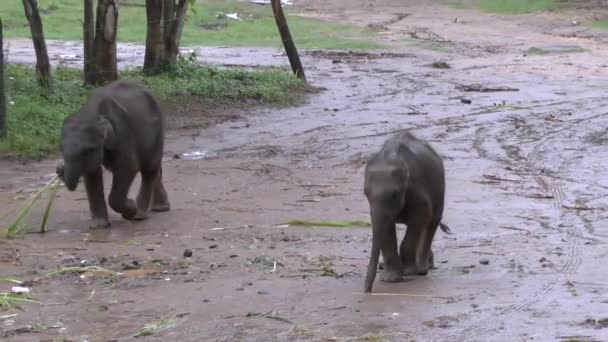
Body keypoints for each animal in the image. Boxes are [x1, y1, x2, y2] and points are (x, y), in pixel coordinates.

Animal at [58, 80, 170, 228]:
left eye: (87, 150)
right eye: (61, 148)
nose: (59, 169)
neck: (93, 112)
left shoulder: (123, 133)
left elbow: (128, 167)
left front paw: (131, 209)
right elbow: (92, 172)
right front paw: (99, 225)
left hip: (157, 130)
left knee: (149, 169)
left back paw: (140, 214)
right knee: (154, 169)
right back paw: (159, 208)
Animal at [360, 132, 452, 292]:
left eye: (394, 195)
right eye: (366, 193)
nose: (367, 291)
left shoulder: (417, 189)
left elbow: (421, 216)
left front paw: (408, 272)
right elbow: (386, 229)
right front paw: (390, 279)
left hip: (439, 189)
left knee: (431, 224)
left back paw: (421, 268)